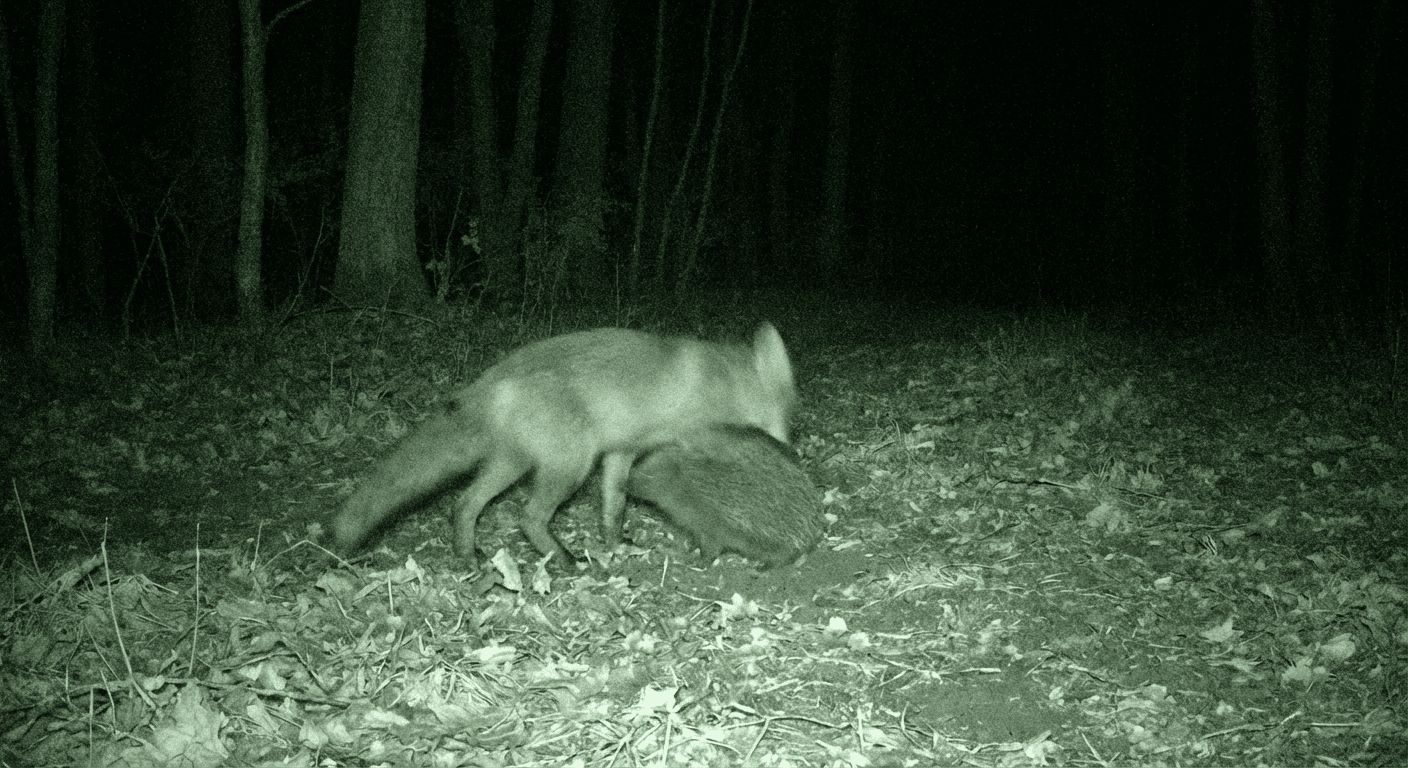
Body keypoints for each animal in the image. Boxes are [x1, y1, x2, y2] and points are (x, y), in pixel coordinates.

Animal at [331, 323, 795, 568]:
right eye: (788, 420)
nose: (793, 454)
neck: (725, 385)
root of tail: (491, 382)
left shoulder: (620, 451)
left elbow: (614, 506)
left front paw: (615, 544)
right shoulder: (676, 441)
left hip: (512, 466)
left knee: (464, 505)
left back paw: (470, 556)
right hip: (569, 467)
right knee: (529, 517)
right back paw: (565, 560)